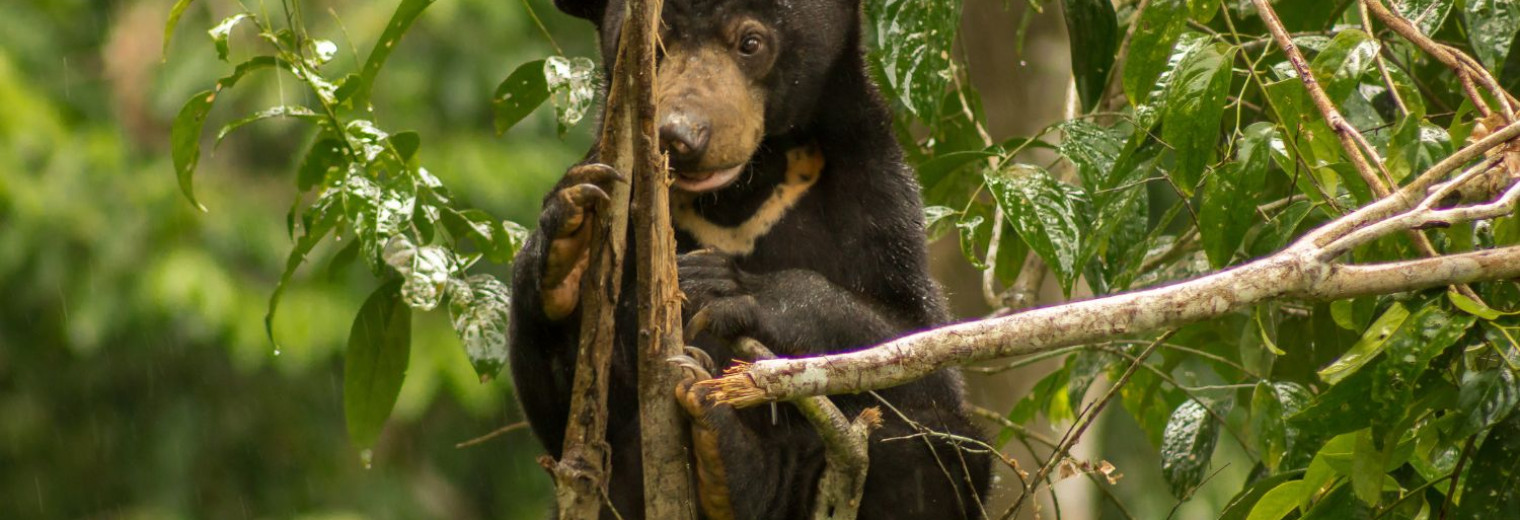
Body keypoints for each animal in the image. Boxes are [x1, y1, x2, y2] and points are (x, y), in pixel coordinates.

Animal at [507, 0, 993, 518]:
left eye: (751, 42)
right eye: (653, 42)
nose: (679, 135)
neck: (739, 192)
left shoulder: (876, 186)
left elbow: (920, 348)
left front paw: (721, 286)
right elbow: (570, 418)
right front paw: (571, 236)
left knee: (939, 446)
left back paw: (732, 462)